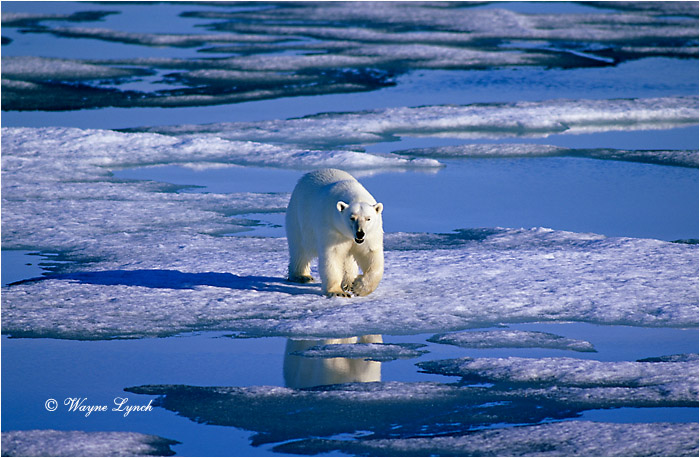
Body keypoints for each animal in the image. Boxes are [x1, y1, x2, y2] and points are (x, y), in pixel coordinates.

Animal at [286, 168, 384, 297]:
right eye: (352, 218)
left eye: (368, 218)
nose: (360, 233)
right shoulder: (332, 227)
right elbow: (333, 255)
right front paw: (338, 292)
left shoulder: (371, 234)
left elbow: (370, 254)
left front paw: (358, 287)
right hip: (298, 217)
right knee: (300, 249)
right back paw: (302, 276)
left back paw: (348, 282)